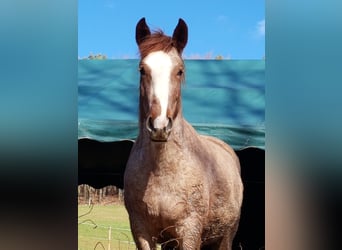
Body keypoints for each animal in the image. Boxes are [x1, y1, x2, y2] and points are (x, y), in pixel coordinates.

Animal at [123, 18, 243, 250]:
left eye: (179, 70)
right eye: (142, 70)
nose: (159, 126)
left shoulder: (189, 231)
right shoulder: (141, 230)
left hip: (225, 237)